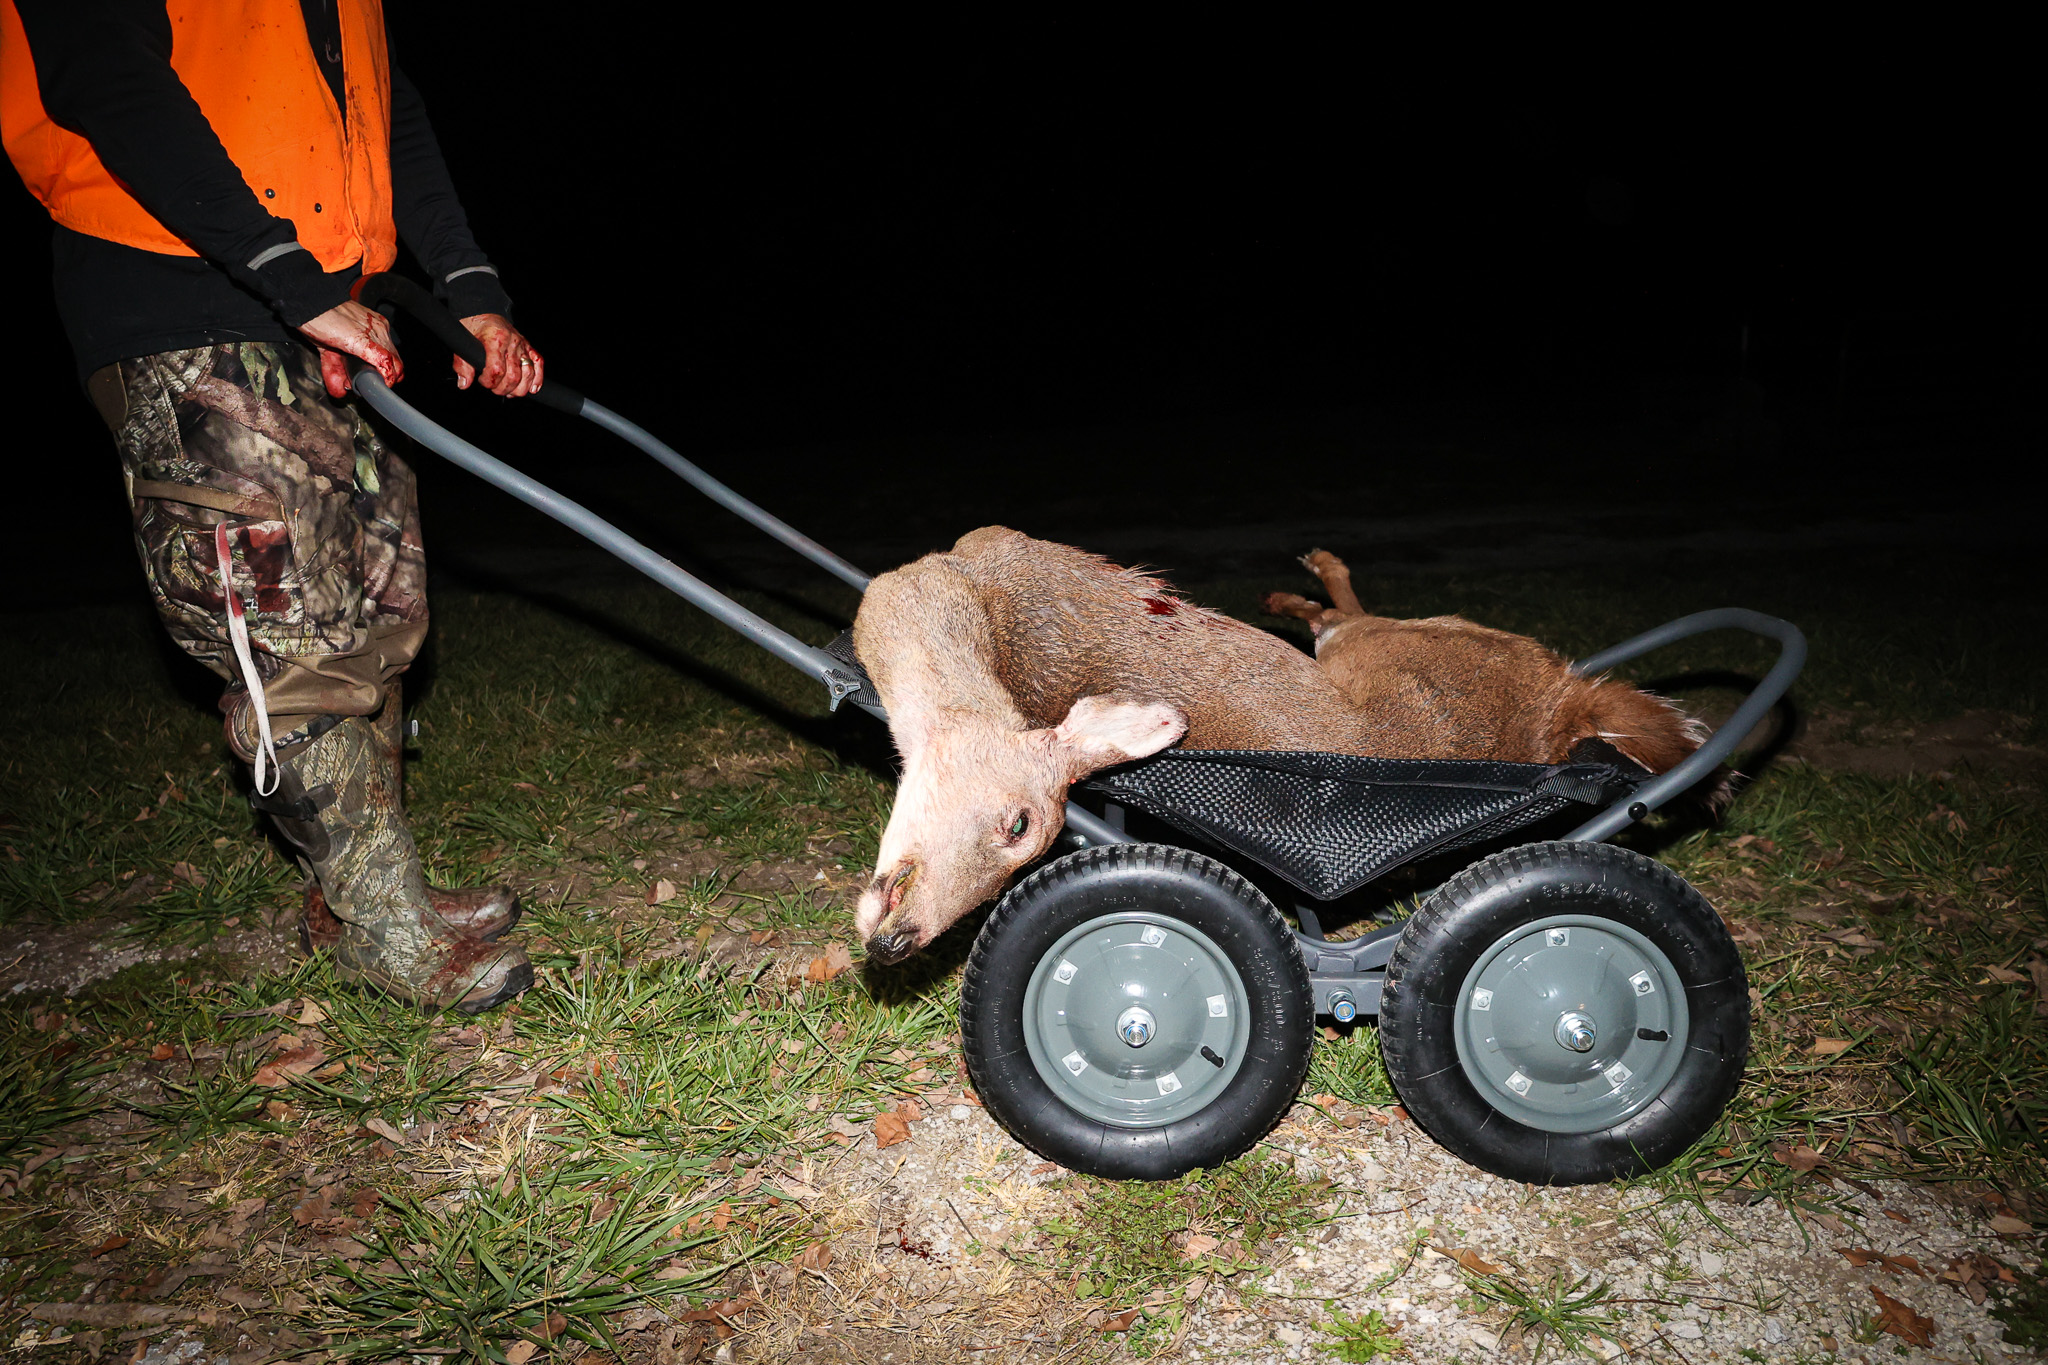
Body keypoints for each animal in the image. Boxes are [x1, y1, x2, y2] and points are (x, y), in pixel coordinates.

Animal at [850, 527, 1704, 964]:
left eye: (1022, 827)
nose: (895, 943)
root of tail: (1563, 701)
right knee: (1339, 614)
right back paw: (1293, 585)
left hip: (1378, 645)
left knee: (1349, 614)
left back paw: (1307, 574)